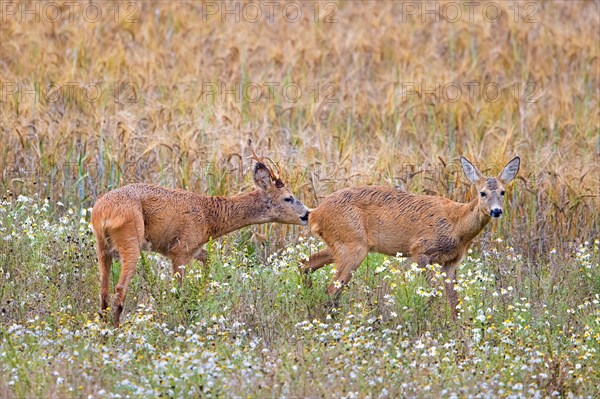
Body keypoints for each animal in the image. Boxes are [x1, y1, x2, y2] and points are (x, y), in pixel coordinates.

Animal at [91, 155, 516, 326]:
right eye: (287, 197)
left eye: (504, 192)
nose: (305, 213)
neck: (211, 214)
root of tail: (100, 212)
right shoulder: (180, 250)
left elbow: (453, 300)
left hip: (104, 250)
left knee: (105, 289)